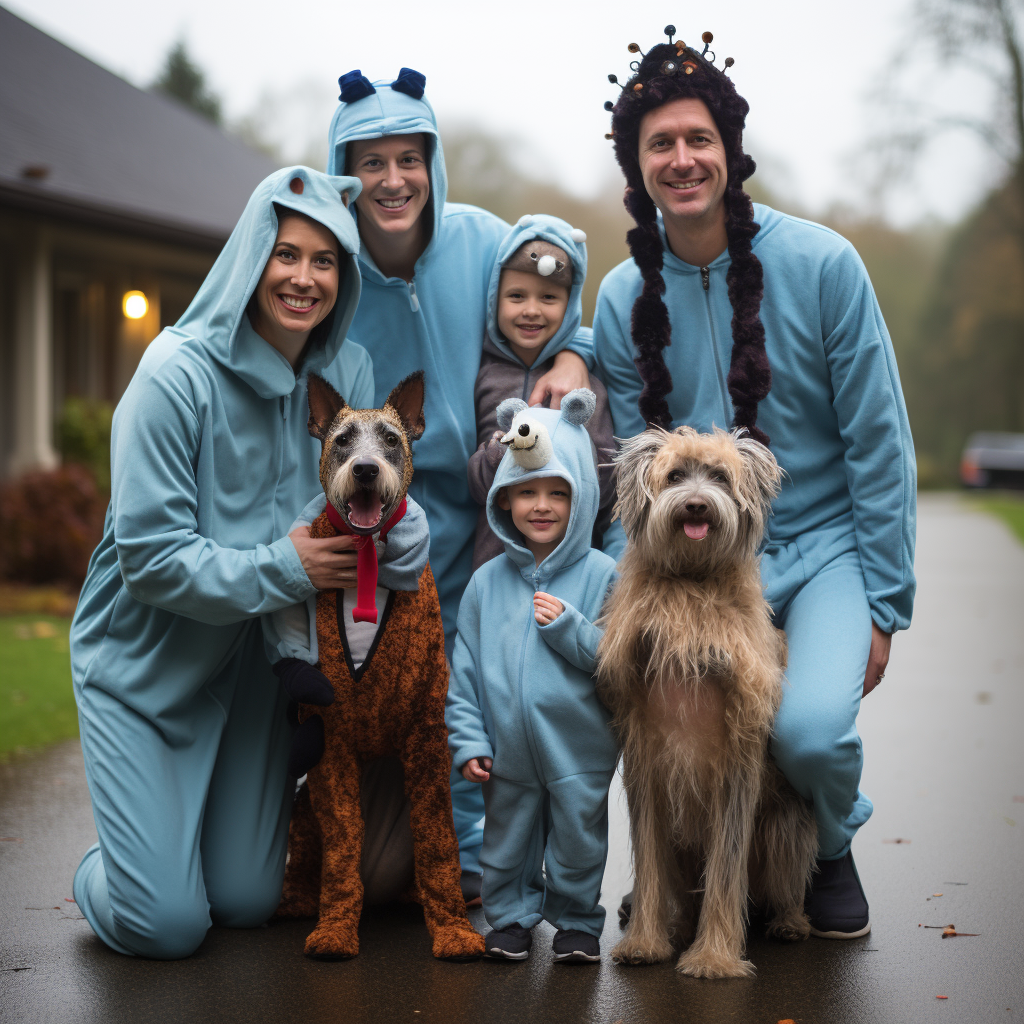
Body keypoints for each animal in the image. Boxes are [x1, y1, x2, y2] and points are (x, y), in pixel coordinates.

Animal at [598, 423, 819, 974]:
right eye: (676, 475)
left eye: (719, 476)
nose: (696, 505)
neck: (690, 583)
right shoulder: (646, 760)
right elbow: (650, 863)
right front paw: (644, 942)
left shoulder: (737, 757)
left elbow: (725, 866)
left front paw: (715, 957)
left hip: (785, 826)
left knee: (784, 881)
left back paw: (790, 921)